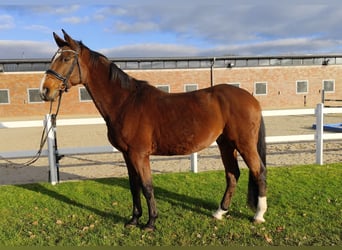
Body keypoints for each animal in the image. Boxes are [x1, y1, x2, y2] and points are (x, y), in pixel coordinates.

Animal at [39, 30, 268, 231]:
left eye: (66, 58)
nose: (45, 90)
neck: (125, 102)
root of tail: (252, 99)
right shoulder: (127, 155)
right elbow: (134, 186)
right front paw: (134, 220)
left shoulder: (139, 154)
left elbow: (147, 187)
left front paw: (150, 223)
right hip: (225, 144)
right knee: (232, 174)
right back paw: (220, 212)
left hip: (244, 144)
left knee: (259, 171)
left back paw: (258, 215)